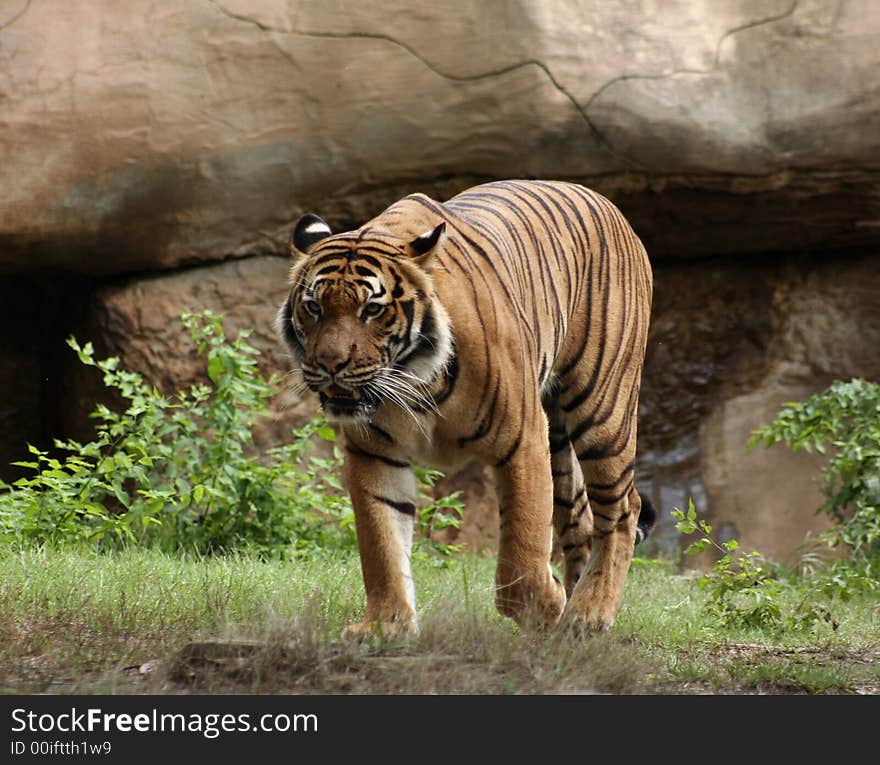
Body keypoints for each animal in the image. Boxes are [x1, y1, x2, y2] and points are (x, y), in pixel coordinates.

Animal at [276, 181, 652, 640]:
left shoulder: (523, 441)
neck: (413, 381)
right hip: (560, 439)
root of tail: (606, 202)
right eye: (314, 307)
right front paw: (387, 624)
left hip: (601, 408)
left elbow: (522, 549)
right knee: (579, 515)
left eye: (372, 309)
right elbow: (381, 542)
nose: (330, 365)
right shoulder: (374, 452)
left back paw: (589, 612)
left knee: (623, 507)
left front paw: (545, 605)